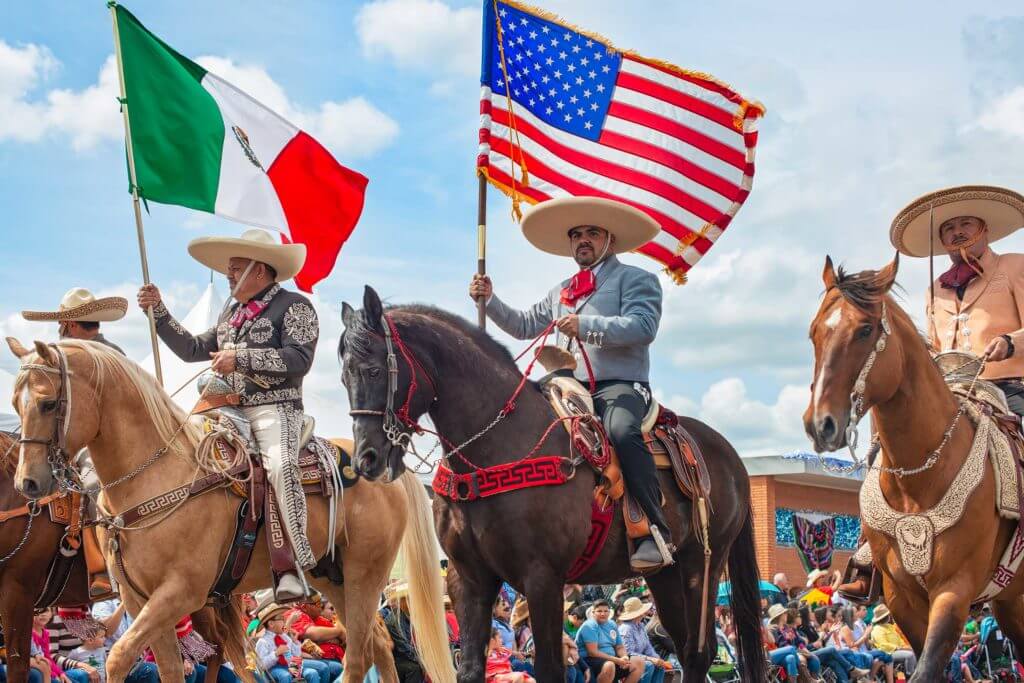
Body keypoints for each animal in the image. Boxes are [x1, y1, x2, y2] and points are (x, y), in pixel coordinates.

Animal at [337, 286, 770, 683]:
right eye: (343, 376)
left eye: (374, 370)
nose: (367, 459)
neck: (497, 445)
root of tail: (730, 457)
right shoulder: (469, 578)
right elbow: (471, 669)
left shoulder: (543, 577)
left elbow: (548, 668)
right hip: (665, 574)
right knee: (684, 647)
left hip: (701, 564)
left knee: (698, 652)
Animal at [806, 255, 1024, 683]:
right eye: (814, 334)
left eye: (866, 329)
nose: (820, 425)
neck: (920, 476)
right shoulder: (899, 596)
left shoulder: (954, 590)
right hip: (1010, 601)